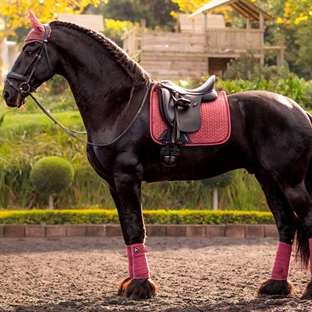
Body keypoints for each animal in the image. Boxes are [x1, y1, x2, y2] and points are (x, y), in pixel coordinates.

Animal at [3, 12, 312, 300]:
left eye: (30, 49)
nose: (8, 93)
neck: (120, 106)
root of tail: (298, 109)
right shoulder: (113, 184)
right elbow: (128, 231)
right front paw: (131, 283)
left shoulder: (127, 178)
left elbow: (136, 229)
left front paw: (140, 286)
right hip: (268, 179)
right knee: (285, 224)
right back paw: (276, 285)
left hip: (290, 181)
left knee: (306, 219)